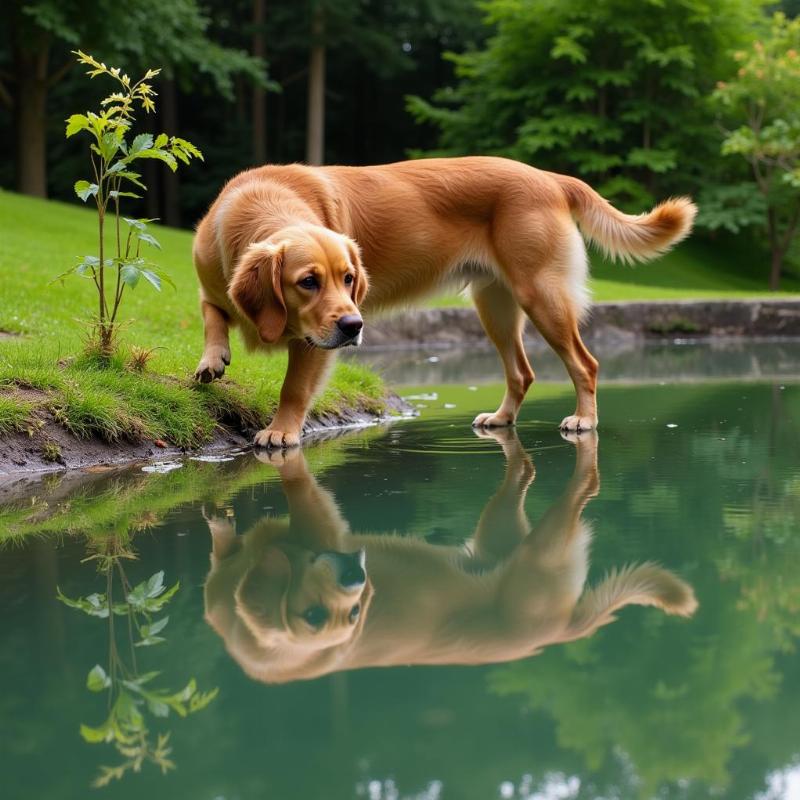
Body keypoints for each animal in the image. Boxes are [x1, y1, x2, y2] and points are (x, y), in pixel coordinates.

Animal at [192, 155, 692, 444]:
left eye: (349, 278)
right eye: (308, 281)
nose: (355, 327)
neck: (259, 206)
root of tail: (550, 177)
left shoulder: (313, 345)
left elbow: (293, 388)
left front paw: (280, 431)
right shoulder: (213, 288)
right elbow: (213, 316)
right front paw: (211, 360)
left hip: (542, 298)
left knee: (585, 364)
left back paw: (584, 420)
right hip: (495, 307)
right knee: (522, 372)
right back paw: (503, 417)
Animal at [203, 428, 696, 684]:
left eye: (355, 613)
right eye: (311, 615)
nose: (356, 578)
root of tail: (559, 629)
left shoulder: (320, 521)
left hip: (545, 544)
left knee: (580, 490)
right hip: (499, 524)